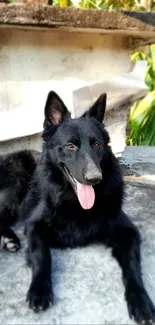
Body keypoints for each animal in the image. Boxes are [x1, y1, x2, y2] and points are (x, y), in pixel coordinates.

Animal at [20, 90, 155, 322]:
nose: (95, 178)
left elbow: (132, 266)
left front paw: (140, 299)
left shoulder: (128, 232)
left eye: (97, 145)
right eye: (70, 145)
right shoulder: (33, 226)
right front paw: (39, 290)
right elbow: (42, 255)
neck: (75, 203)